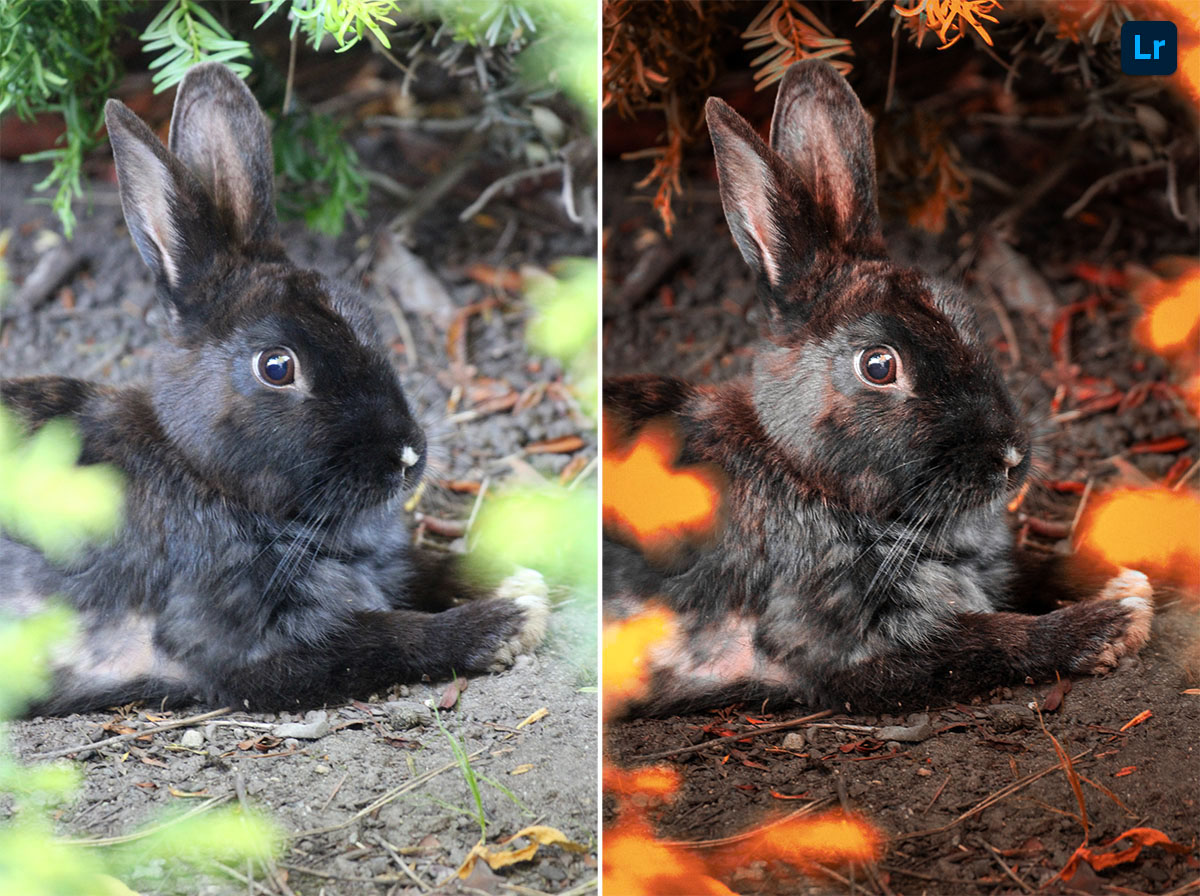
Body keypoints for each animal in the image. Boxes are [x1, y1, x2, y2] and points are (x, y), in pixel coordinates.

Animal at [0, 62, 549, 716]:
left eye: (366, 322)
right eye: (278, 367)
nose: (407, 455)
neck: (204, 474)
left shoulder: (385, 566)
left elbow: (430, 568)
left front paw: (525, 579)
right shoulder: (251, 651)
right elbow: (385, 635)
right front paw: (511, 619)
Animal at [603, 60, 1152, 717]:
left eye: (965, 318)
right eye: (879, 366)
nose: (1010, 457)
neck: (801, 470)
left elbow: (1031, 571)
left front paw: (1124, 580)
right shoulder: (853, 650)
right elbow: (989, 639)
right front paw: (1115, 622)